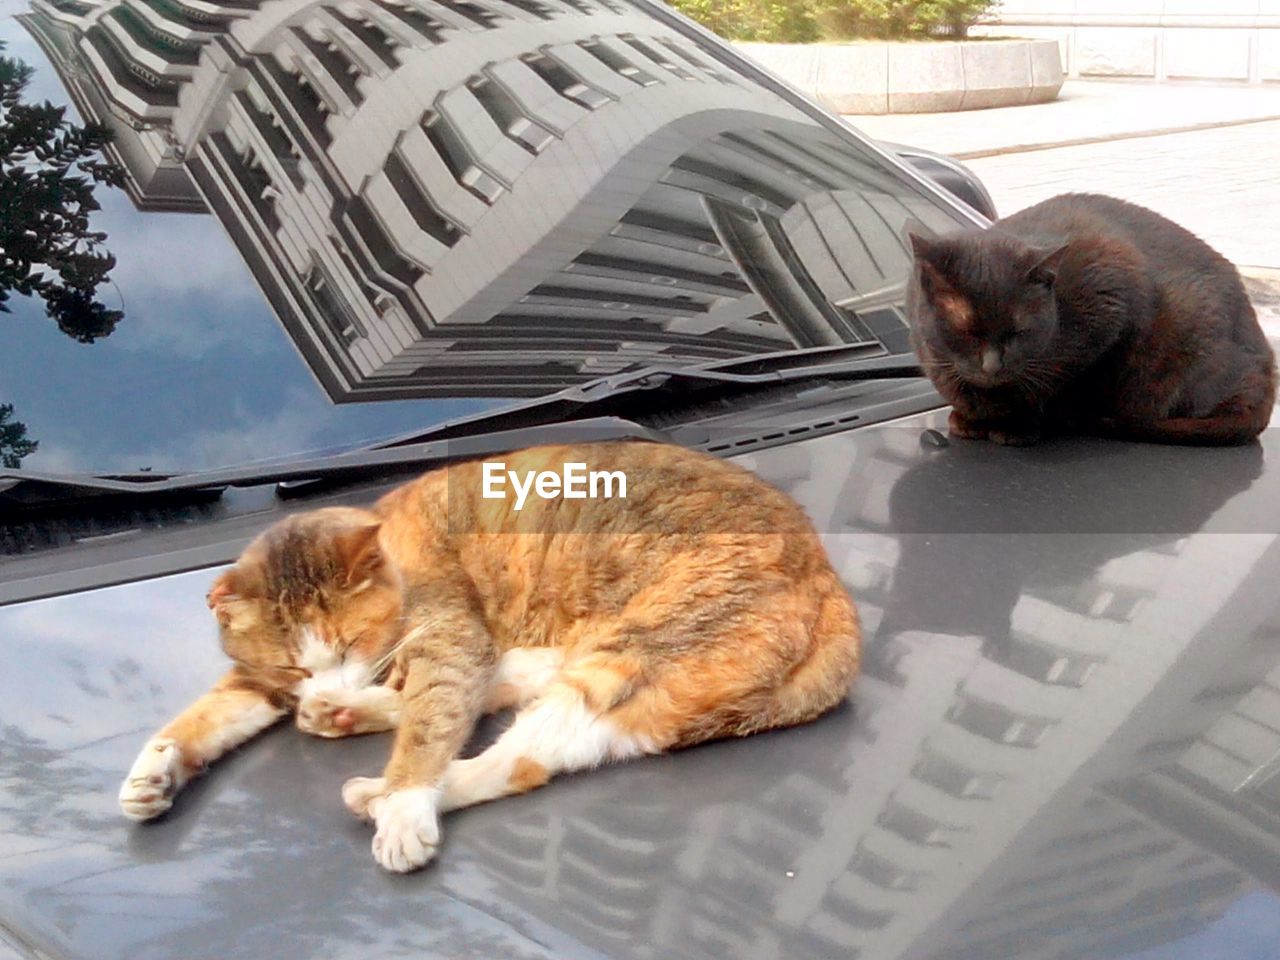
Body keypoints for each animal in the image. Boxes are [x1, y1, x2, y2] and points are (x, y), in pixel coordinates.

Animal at [120, 442, 860, 870]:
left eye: (351, 642)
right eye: (294, 666)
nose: (322, 681)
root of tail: (832, 588)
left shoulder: (448, 635)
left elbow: (433, 719)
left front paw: (405, 798)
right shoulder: (259, 680)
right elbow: (204, 716)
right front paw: (153, 773)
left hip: (628, 659)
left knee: (509, 752)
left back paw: (385, 794)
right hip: (636, 694)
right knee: (522, 736)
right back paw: (348, 724)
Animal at [906, 193, 1274, 448]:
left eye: (1018, 332)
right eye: (967, 332)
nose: (993, 366)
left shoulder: (1111, 306)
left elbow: (1053, 387)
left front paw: (1018, 426)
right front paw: (969, 419)